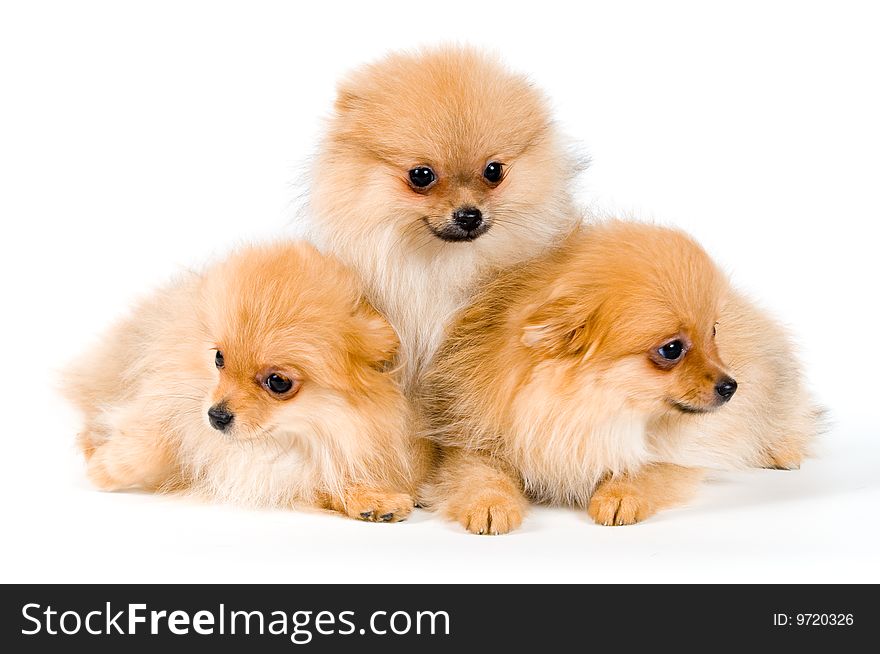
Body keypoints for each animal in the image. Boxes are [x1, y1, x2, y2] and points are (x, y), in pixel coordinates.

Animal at [65, 241, 430, 524]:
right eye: (218, 358)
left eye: (278, 382)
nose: (216, 416)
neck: (282, 441)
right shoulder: (171, 391)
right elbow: (154, 436)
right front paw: (106, 466)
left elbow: (333, 477)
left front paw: (371, 498)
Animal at [418, 220, 820, 532]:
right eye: (671, 350)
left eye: (713, 332)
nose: (730, 386)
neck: (594, 409)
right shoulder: (478, 436)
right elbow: (480, 472)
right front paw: (490, 503)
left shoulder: (685, 450)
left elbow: (651, 468)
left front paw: (622, 494)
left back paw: (782, 451)